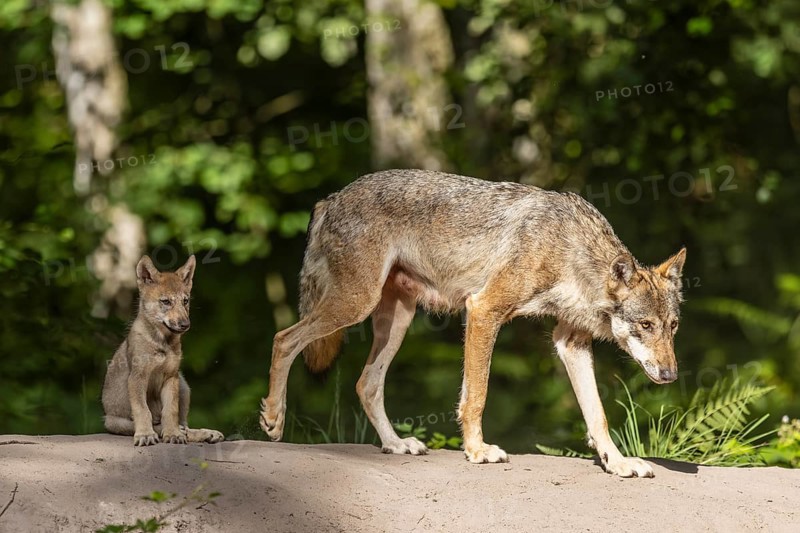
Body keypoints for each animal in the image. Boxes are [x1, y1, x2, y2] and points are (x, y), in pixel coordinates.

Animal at [102, 255, 224, 446]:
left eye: (185, 301)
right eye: (166, 301)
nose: (185, 324)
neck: (163, 343)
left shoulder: (171, 377)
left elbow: (170, 411)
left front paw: (173, 434)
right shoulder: (138, 377)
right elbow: (143, 410)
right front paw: (145, 435)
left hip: (184, 385)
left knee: (183, 425)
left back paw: (204, 433)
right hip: (114, 421)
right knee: (156, 423)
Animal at [259, 169, 685, 477]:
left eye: (673, 326)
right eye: (645, 325)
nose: (670, 375)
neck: (569, 252)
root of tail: (328, 199)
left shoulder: (571, 342)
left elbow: (597, 414)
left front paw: (618, 463)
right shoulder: (483, 311)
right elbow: (477, 396)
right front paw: (478, 451)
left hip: (397, 321)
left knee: (366, 384)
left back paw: (396, 445)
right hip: (354, 307)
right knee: (283, 338)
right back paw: (274, 420)